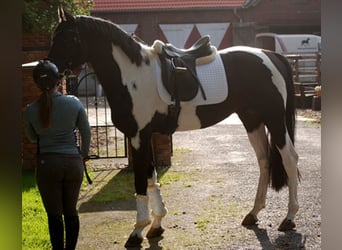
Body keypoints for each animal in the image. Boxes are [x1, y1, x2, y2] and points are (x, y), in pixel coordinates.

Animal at [47, 8, 300, 247]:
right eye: (54, 36)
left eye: (69, 37)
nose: (46, 72)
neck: (133, 75)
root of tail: (271, 55)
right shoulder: (144, 136)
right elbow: (151, 179)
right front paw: (156, 225)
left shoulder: (138, 137)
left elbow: (141, 182)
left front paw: (137, 232)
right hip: (252, 120)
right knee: (264, 161)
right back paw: (253, 213)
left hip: (274, 119)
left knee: (289, 159)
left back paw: (289, 218)